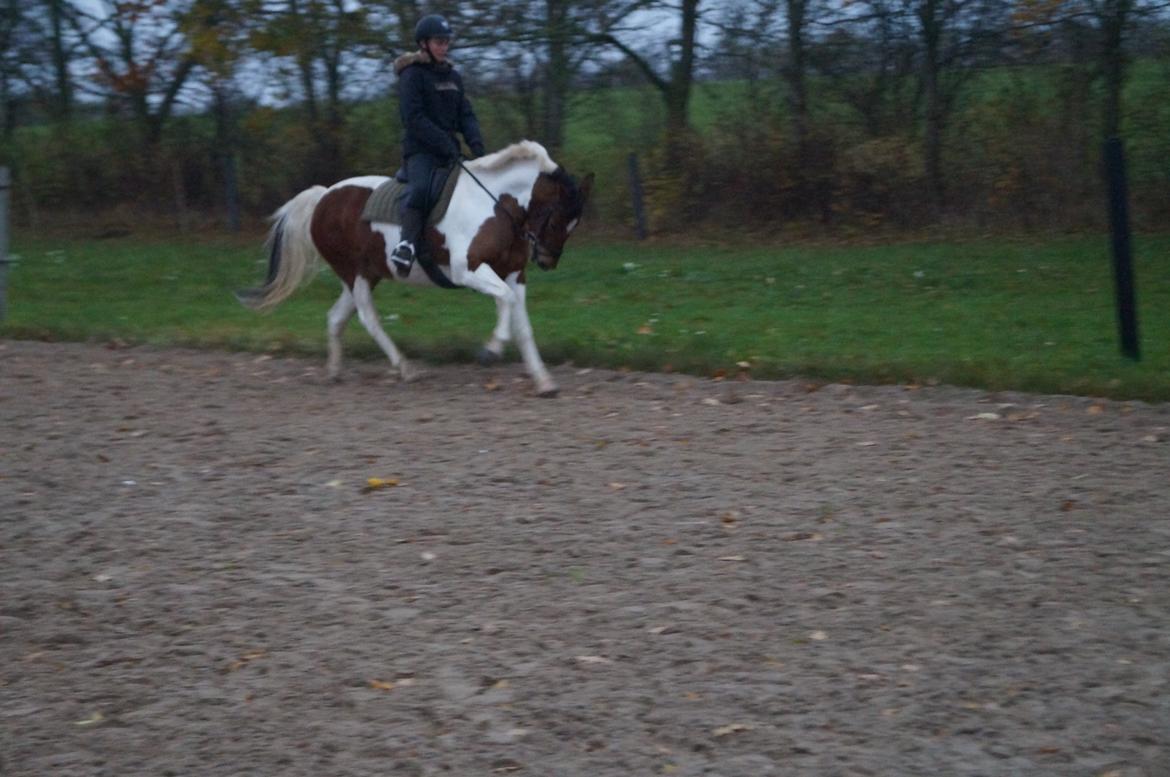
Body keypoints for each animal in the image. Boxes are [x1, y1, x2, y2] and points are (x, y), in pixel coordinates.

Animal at [237, 139, 589, 397]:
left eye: (574, 225)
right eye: (557, 220)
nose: (547, 260)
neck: (495, 205)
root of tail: (323, 197)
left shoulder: (516, 275)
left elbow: (522, 324)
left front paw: (544, 382)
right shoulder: (468, 270)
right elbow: (505, 299)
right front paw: (491, 349)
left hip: (366, 273)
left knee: (337, 318)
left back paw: (335, 372)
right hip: (353, 273)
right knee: (368, 318)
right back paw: (405, 369)